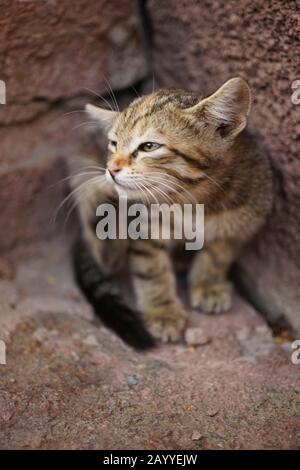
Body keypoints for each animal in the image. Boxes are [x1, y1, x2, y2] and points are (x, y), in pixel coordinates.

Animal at [74, 78, 274, 348]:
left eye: (148, 146)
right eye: (113, 144)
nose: (111, 168)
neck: (192, 200)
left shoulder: (244, 216)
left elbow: (218, 254)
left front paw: (207, 284)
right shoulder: (144, 229)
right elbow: (151, 269)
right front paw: (163, 311)